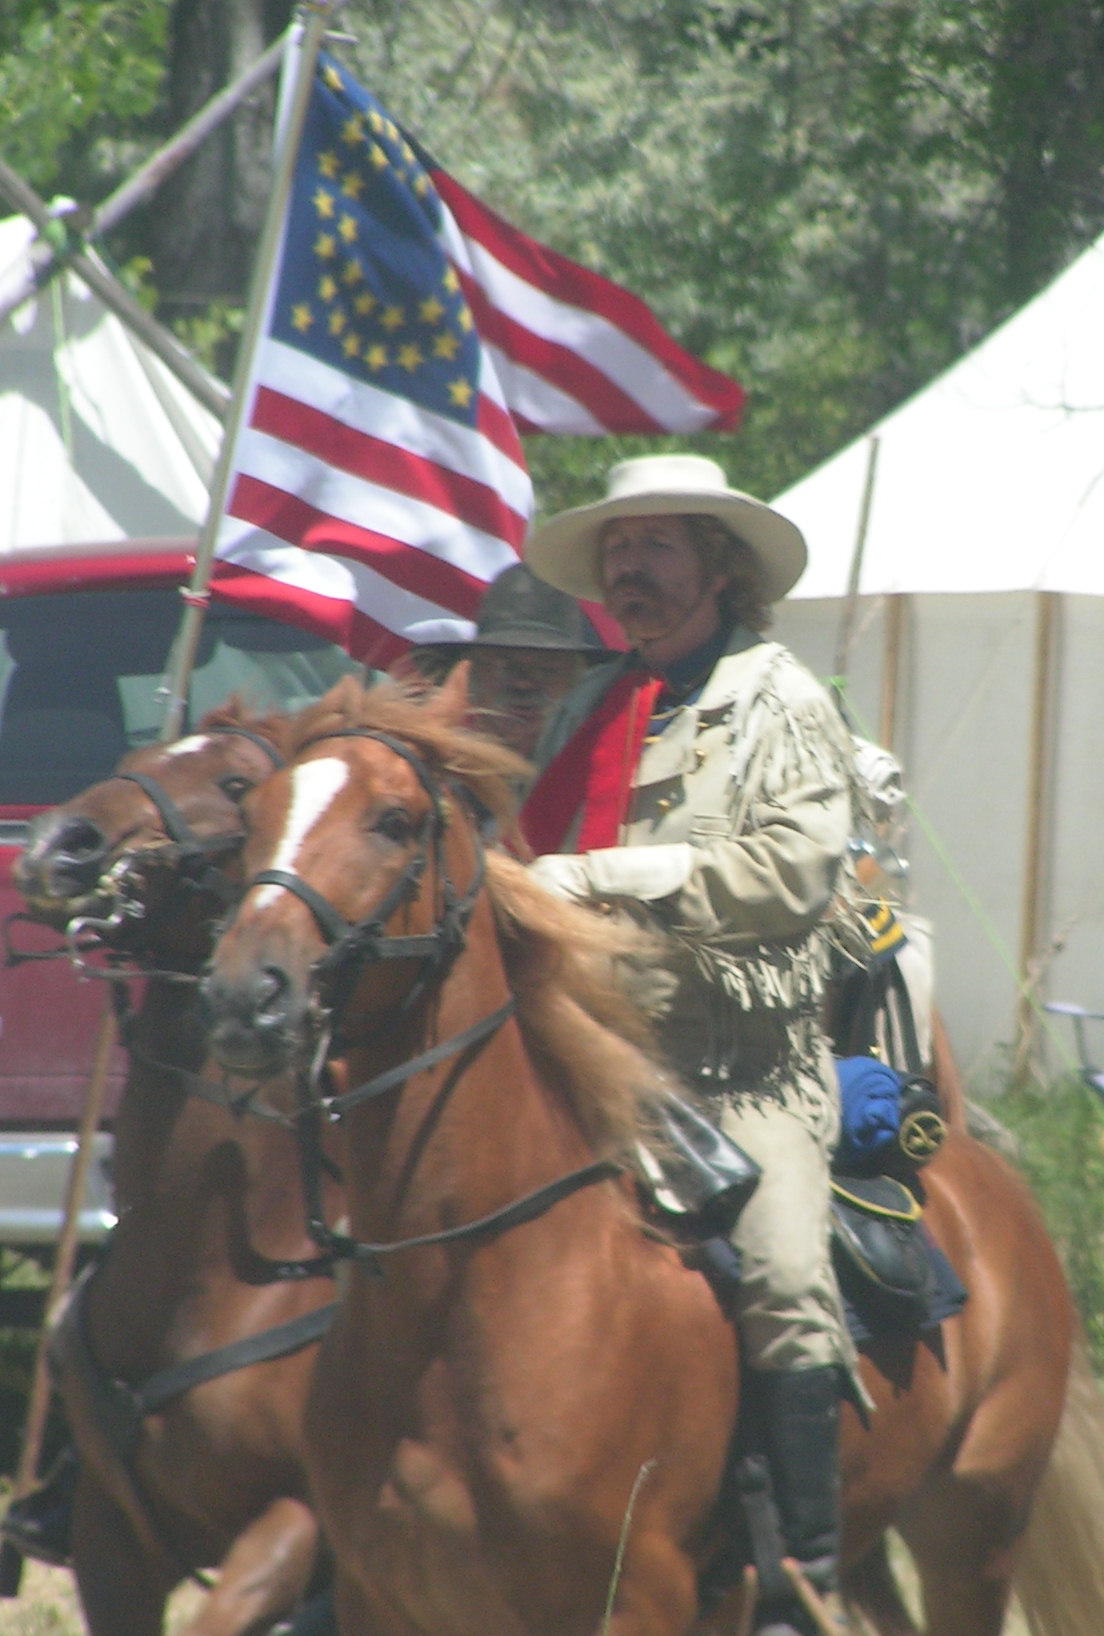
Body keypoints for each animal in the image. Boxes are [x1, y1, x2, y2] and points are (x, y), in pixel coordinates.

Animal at [201, 677, 1104, 1636]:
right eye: (252, 812)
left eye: (395, 819)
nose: (246, 996)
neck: (467, 1291)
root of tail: (996, 1187)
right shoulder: (384, 1599)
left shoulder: (637, 1596)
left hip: (975, 1531)